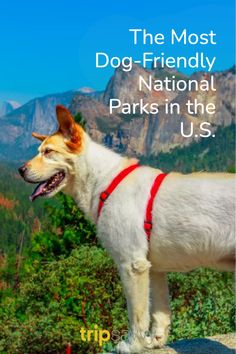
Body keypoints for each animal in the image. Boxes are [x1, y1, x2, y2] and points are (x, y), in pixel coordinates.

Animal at [19, 103, 235, 352]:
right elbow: (160, 312)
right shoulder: (154, 269)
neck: (103, 180)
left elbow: (137, 314)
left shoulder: (132, 265)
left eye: (48, 152)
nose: (20, 170)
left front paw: (134, 345)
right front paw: (156, 341)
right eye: (39, 150)